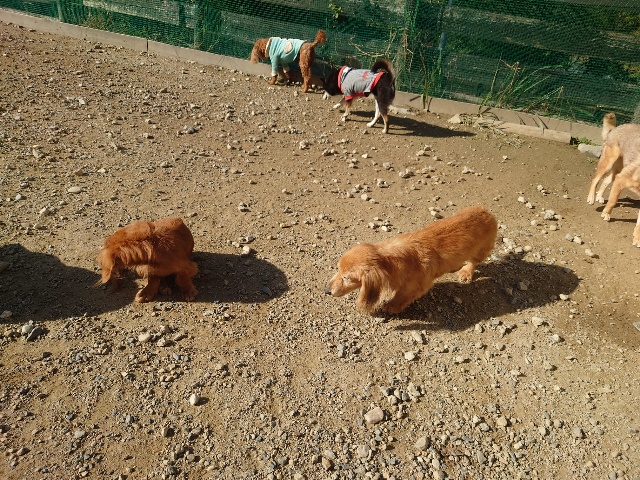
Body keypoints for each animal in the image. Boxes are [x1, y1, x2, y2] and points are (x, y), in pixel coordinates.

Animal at [325, 205, 497, 315]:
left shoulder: (416, 286)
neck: (391, 262)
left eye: (346, 278)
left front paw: (391, 307)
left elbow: (401, 297)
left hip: (482, 250)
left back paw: (466, 272)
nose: (326, 291)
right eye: (337, 269)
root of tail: (485, 211)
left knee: (473, 262)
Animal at [586, 113, 640, 246]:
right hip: (608, 162)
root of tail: (616, 127)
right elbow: (613, 201)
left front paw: (637, 238)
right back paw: (591, 197)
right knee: (595, 179)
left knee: (606, 180)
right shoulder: (621, 180)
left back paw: (599, 196)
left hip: (617, 169)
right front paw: (606, 214)